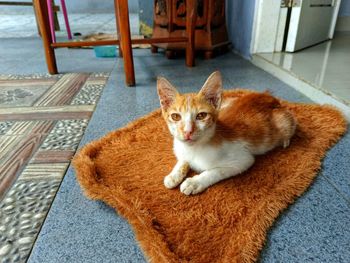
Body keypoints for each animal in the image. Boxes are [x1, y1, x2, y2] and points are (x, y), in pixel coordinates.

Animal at [157, 71, 296, 195]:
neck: (194, 148)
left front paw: (195, 182)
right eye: (175, 117)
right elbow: (183, 159)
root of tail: (268, 96)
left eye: (201, 116)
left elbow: (216, 171)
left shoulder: (243, 160)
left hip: (283, 122)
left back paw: (285, 141)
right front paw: (174, 175)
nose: (188, 131)